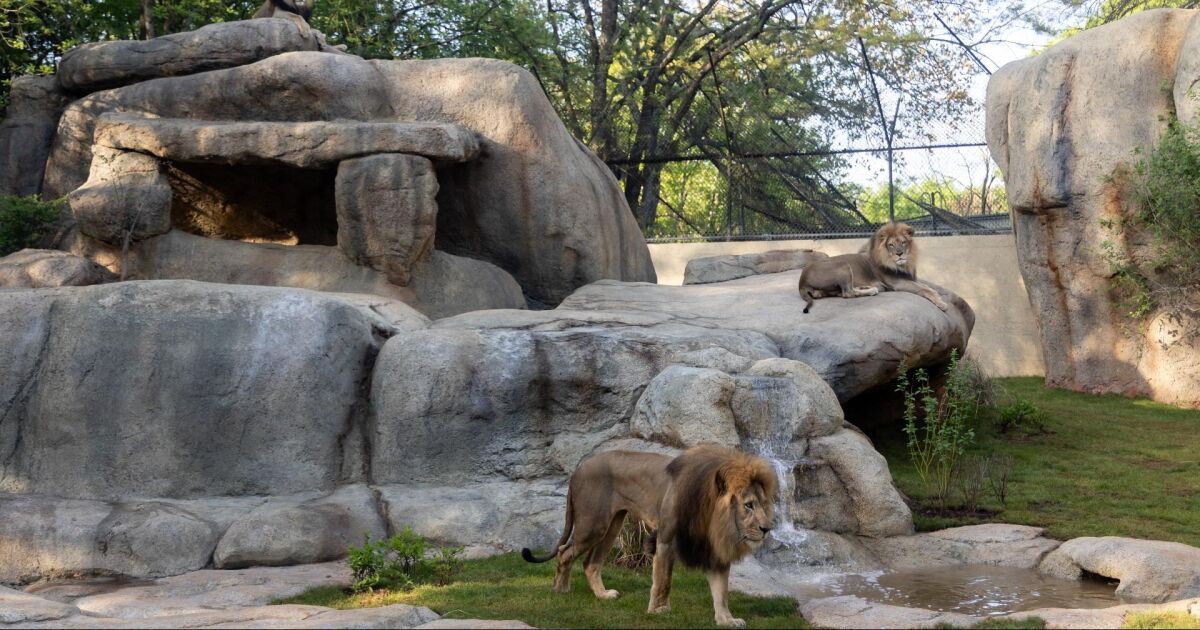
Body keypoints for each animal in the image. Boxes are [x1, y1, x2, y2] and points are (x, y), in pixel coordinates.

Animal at [522, 445, 777, 628]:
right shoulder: (665, 539)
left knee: (590, 562)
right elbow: (663, 580)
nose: (768, 528)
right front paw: (659, 610)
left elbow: (721, 591)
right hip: (593, 524)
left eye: (763, 504)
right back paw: (560, 589)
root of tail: (578, 468)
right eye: (748, 505)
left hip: (613, 525)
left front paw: (726, 619)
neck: (710, 516)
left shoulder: (713, 548)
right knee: (565, 551)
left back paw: (603, 595)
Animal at [796, 222, 949, 313]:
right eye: (891, 245)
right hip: (843, 264)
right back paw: (872, 290)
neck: (903, 264)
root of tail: (801, 280)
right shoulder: (898, 283)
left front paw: (939, 296)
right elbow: (925, 289)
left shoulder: (909, 278)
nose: (899, 254)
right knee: (847, 293)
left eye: (903, 242)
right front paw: (941, 304)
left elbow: (928, 287)